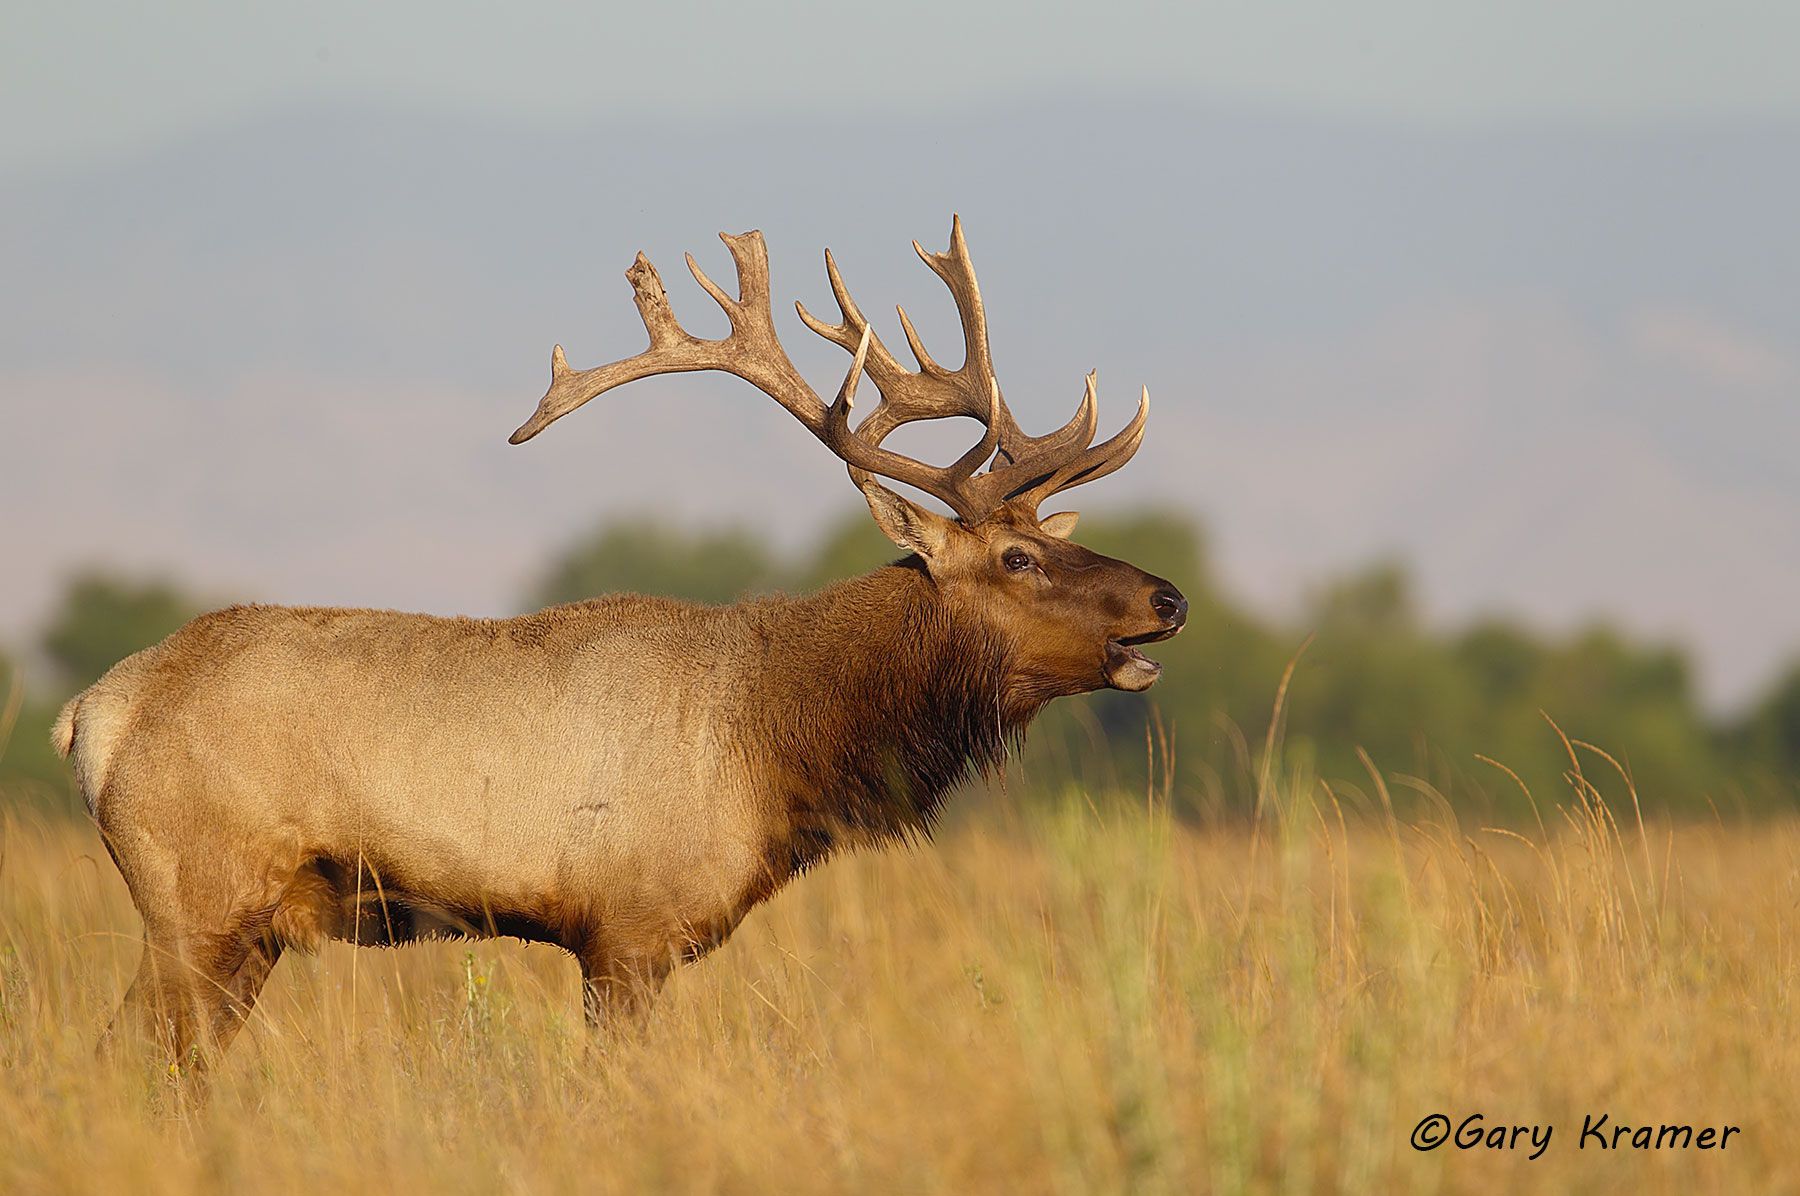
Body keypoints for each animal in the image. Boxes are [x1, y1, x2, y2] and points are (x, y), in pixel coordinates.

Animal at [53, 217, 1186, 1069]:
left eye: (1053, 537)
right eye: (1016, 556)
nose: (1168, 596)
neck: (778, 739)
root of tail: (89, 716)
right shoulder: (627, 931)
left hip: (247, 929)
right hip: (196, 901)